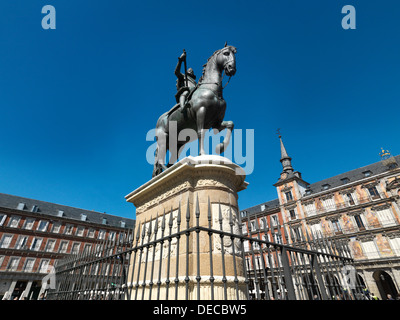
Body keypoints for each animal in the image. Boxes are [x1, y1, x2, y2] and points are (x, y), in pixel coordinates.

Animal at [152, 44, 236, 178]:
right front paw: (202, 154)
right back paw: (164, 171)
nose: (232, 69)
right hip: (162, 137)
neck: (212, 90)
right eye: (226, 53)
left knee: (170, 161)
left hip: (178, 143)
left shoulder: (216, 122)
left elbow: (230, 124)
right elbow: (200, 132)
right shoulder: (201, 112)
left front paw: (220, 147)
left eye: (234, 54)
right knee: (160, 158)